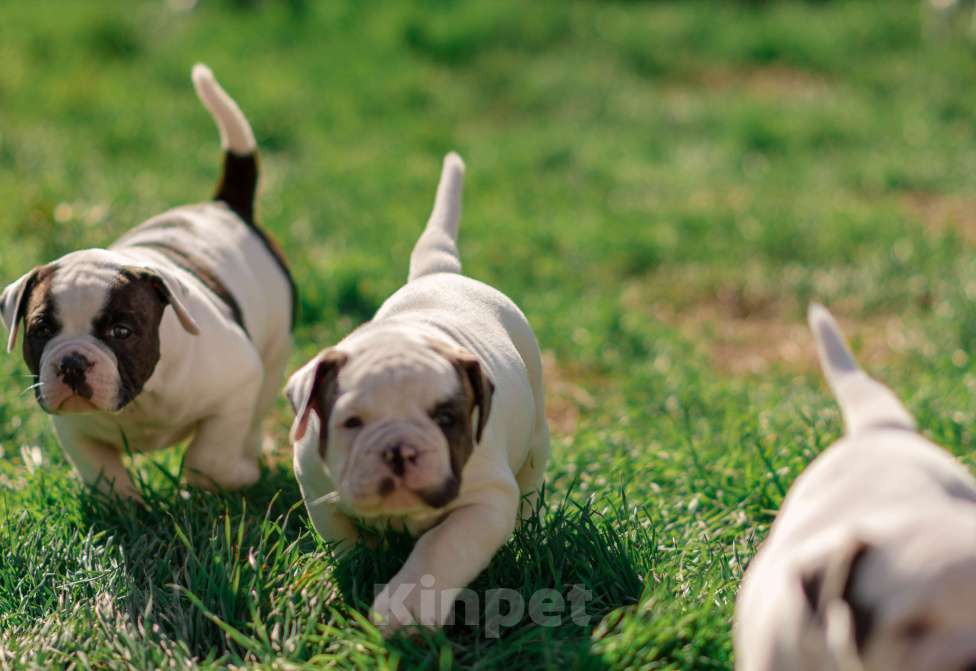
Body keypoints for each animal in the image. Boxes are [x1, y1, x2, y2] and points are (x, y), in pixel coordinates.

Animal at [1, 65, 296, 502]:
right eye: (41, 330)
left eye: (121, 331)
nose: (71, 362)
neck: (140, 397)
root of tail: (224, 205)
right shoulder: (72, 427)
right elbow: (100, 468)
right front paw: (121, 503)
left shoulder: (236, 387)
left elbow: (209, 456)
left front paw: (229, 479)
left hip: (273, 355)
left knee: (256, 412)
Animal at [286, 154, 552, 636]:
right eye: (351, 422)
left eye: (446, 418)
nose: (399, 450)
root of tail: (441, 274)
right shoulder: (315, 487)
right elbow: (345, 540)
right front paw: (358, 571)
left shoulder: (484, 502)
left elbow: (440, 548)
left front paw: (405, 606)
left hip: (537, 435)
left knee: (529, 484)